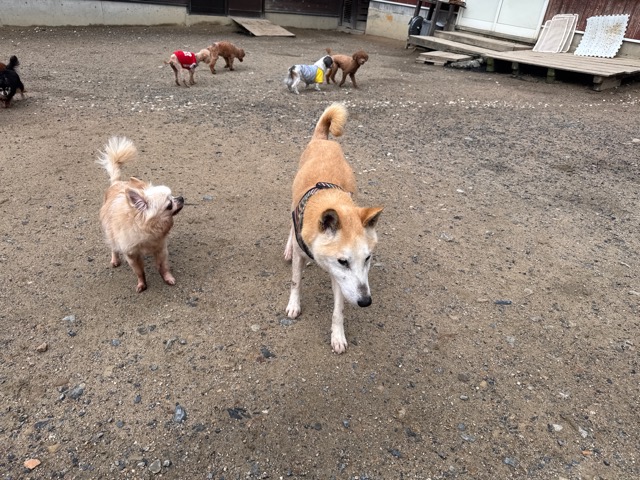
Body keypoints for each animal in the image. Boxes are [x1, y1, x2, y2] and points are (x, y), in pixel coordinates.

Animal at [97, 136, 184, 293]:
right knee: (113, 246)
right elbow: (139, 271)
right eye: (169, 205)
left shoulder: (161, 248)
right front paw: (142, 284)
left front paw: (168, 278)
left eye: (173, 195)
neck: (149, 229)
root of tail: (116, 183)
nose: (181, 198)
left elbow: (163, 266)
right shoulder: (132, 255)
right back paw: (115, 259)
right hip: (110, 232)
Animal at [284, 103, 383, 353]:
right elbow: (295, 282)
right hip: (292, 201)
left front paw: (338, 336)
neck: (329, 198)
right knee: (290, 227)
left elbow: (338, 310)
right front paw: (293, 305)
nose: (365, 301)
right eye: (343, 261)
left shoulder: (340, 279)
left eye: (368, 258)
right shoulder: (306, 258)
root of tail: (324, 140)